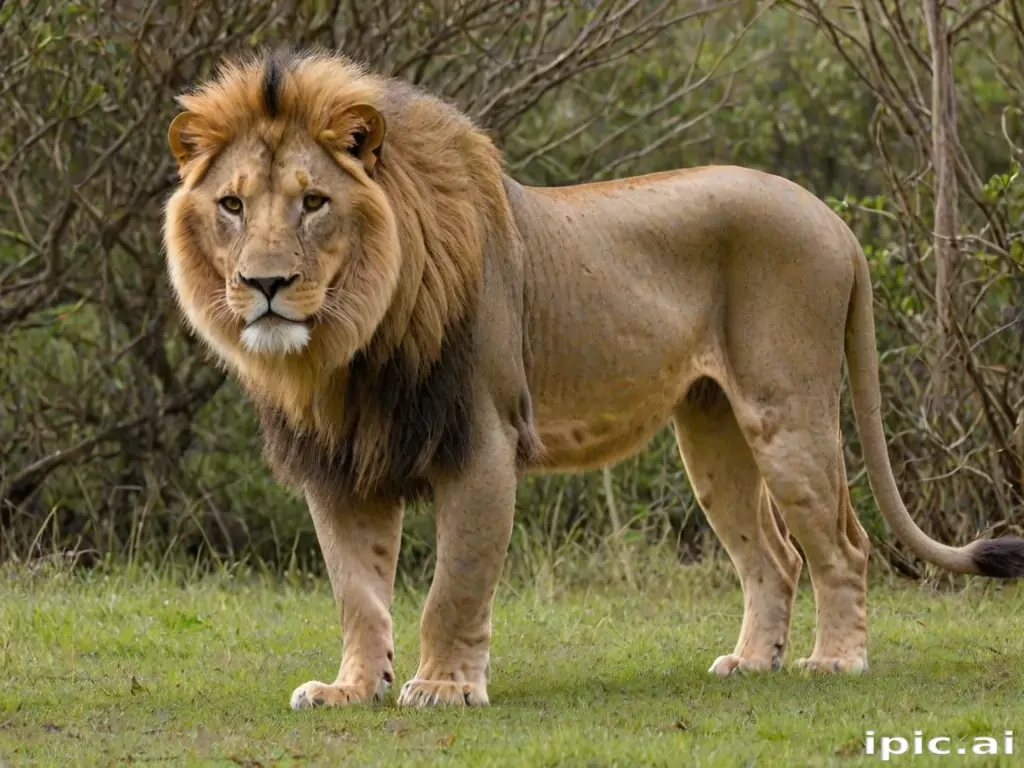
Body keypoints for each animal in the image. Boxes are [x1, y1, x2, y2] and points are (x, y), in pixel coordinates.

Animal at [162, 49, 1024, 709]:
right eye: (232, 204)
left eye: (313, 202)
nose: (265, 284)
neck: (349, 347)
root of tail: (835, 221)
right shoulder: (340, 464)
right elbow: (358, 594)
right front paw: (350, 689)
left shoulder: (482, 441)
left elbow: (454, 587)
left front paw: (445, 687)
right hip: (711, 433)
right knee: (773, 557)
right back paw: (753, 663)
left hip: (789, 410)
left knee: (843, 546)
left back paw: (835, 661)